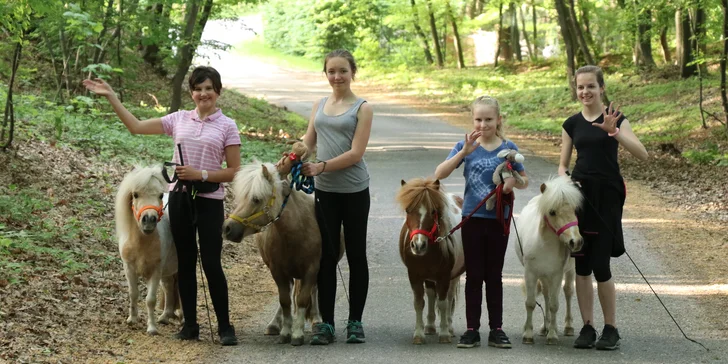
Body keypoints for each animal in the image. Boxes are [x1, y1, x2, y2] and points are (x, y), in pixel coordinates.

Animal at [116, 166, 181, 334]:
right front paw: (132, 319)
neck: (142, 243)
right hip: (167, 271)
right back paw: (165, 316)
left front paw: (151, 327)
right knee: (169, 287)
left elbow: (150, 300)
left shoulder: (156, 271)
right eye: (135, 194)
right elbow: (133, 293)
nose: (149, 220)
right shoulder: (129, 268)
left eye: (160, 195)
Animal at [222, 162, 344, 346]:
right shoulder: (277, 271)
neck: (297, 231)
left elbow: (303, 299)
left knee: (313, 291)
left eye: (256, 199)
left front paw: (298, 334)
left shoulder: (312, 270)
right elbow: (284, 300)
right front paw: (286, 331)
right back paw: (274, 325)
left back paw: (316, 320)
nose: (227, 228)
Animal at [396, 178, 464, 346]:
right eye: (408, 210)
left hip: (454, 276)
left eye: (433, 211)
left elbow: (443, 303)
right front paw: (419, 334)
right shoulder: (414, 276)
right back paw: (430, 326)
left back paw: (449, 327)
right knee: (432, 295)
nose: (418, 245)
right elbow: (419, 302)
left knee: (449, 297)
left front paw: (445, 333)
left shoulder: (444, 277)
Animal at [516, 175, 584, 346]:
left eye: (575, 210)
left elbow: (554, 305)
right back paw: (544, 327)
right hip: (543, 276)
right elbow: (530, 303)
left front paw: (552, 335)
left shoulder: (556, 275)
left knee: (568, 292)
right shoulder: (531, 274)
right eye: (552, 212)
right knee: (546, 295)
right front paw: (528, 333)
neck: (543, 244)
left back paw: (567, 326)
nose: (576, 242)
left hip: (569, 272)